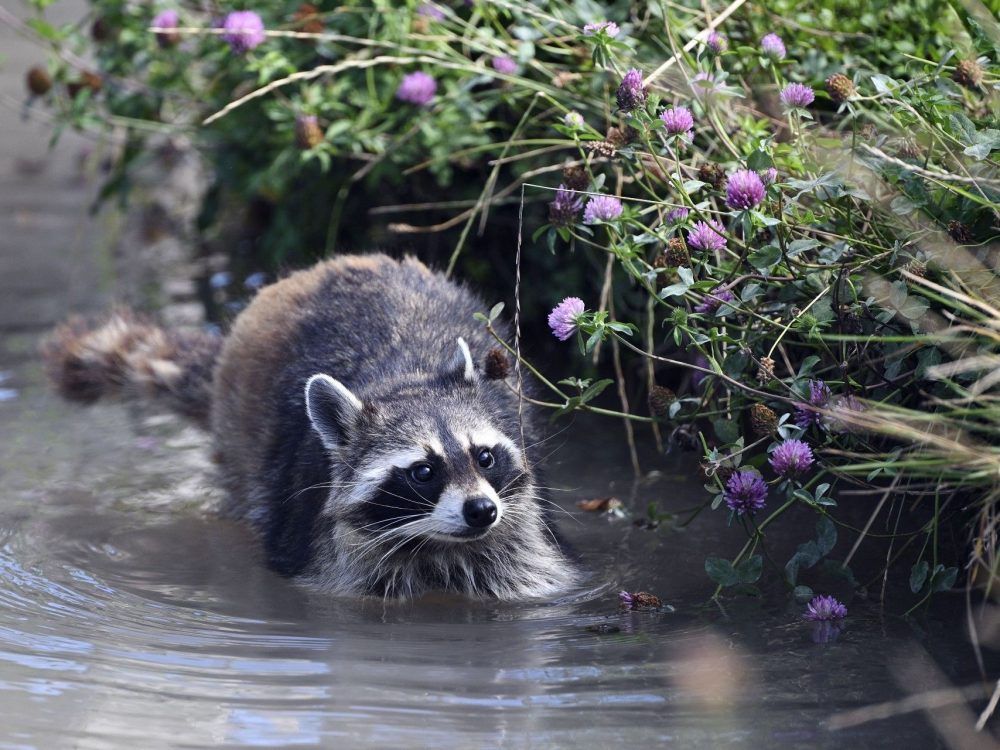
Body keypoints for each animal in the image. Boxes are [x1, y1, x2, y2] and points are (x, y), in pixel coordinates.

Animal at [45, 256, 580, 604]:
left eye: (484, 456)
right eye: (423, 472)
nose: (482, 510)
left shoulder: (522, 528)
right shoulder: (322, 552)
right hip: (242, 434)